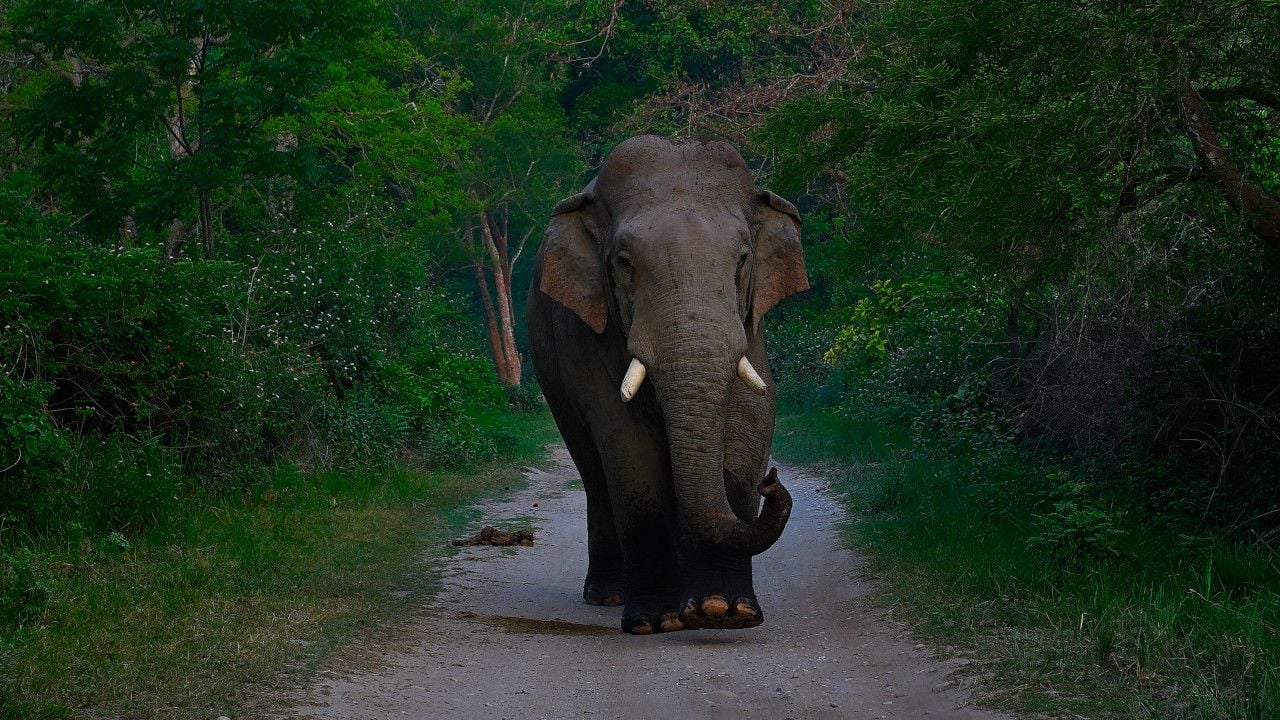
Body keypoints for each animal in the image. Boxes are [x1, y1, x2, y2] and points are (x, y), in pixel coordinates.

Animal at [527, 134, 809, 635]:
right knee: (593, 469)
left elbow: (751, 419)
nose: (772, 481)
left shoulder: (752, 324)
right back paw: (610, 595)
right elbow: (627, 444)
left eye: (743, 260)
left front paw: (725, 611)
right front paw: (655, 622)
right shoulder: (590, 336)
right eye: (623, 263)